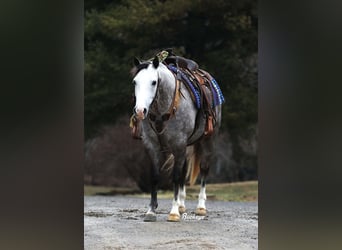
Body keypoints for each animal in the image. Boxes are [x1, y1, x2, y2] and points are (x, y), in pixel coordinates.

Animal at [131, 55, 222, 222]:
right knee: (184, 169)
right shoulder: (152, 145)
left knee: (204, 168)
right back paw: (181, 205)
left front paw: (173, 212)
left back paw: (201, 207)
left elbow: (175, 176)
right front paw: (151, 211)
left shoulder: (178, 144)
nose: (140, 111)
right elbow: (155, 176)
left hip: (209, 139)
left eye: (154, 82)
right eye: (135, 82)